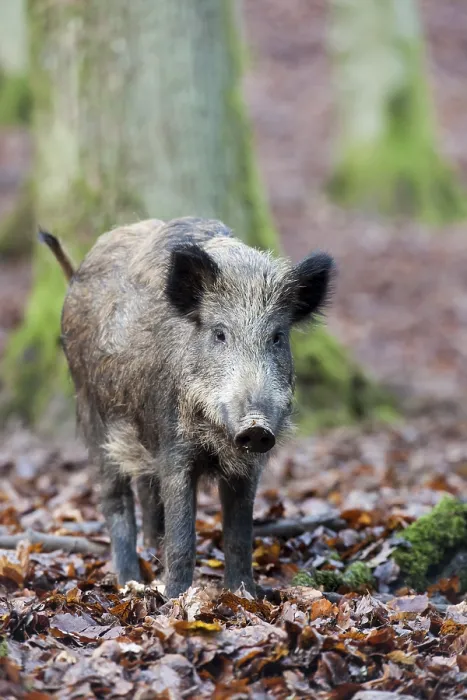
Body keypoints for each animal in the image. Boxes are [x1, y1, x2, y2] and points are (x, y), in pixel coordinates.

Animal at [42, 217, 335, 598]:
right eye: (220, 333)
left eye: (277, 336)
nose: (255, 426)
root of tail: (77, 273)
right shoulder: (175, 449)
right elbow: (183, 536)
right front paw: (175, 598)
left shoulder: (249, 466)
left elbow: (239, 535)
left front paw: (246, 595)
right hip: (91, 410)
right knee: (114, 498)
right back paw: (129, 581)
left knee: (146, 493)